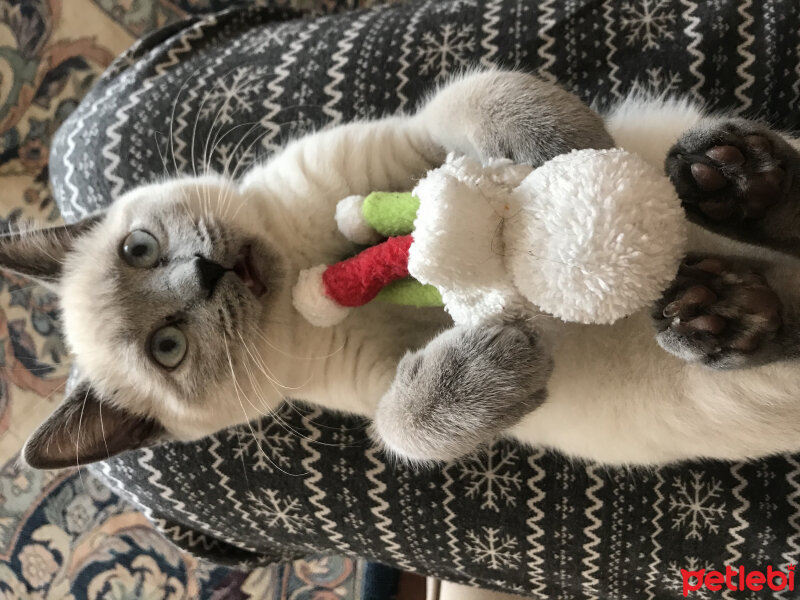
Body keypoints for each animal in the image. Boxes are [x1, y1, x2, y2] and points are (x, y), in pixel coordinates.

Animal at [9, 69, 800, 468]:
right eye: (166, 349)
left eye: (138, 249)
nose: (206, 272)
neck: (305, 259)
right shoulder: (376, 384)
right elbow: (401, 428)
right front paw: (497, 361)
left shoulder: (416, 134)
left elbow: (485, 96)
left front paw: (564, 149)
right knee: (779, 315)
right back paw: (722, 301)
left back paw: (726, 183)